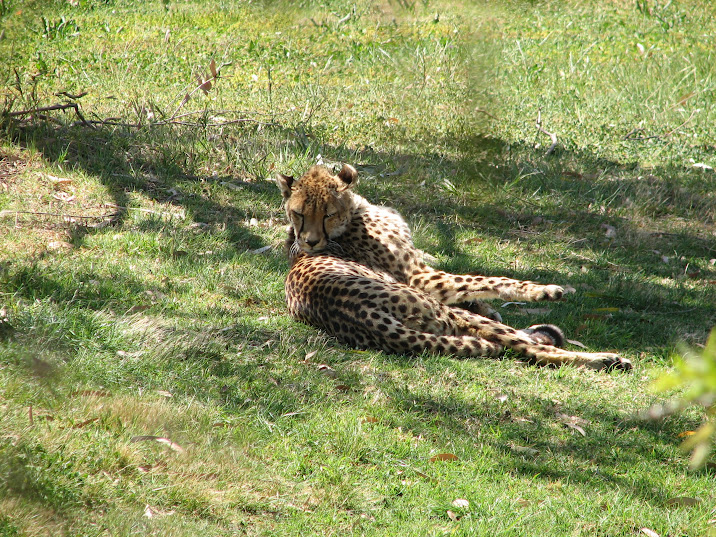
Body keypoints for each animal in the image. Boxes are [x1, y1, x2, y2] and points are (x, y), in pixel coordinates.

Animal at [276, 163, 632, 371]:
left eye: (326, 213)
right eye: (299, 213)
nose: (310, 243)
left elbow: (475, 291)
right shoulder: (420, 277)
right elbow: (486, 279)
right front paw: (543, 290)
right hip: (442, 312)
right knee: (528, 349)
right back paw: (604, 358)